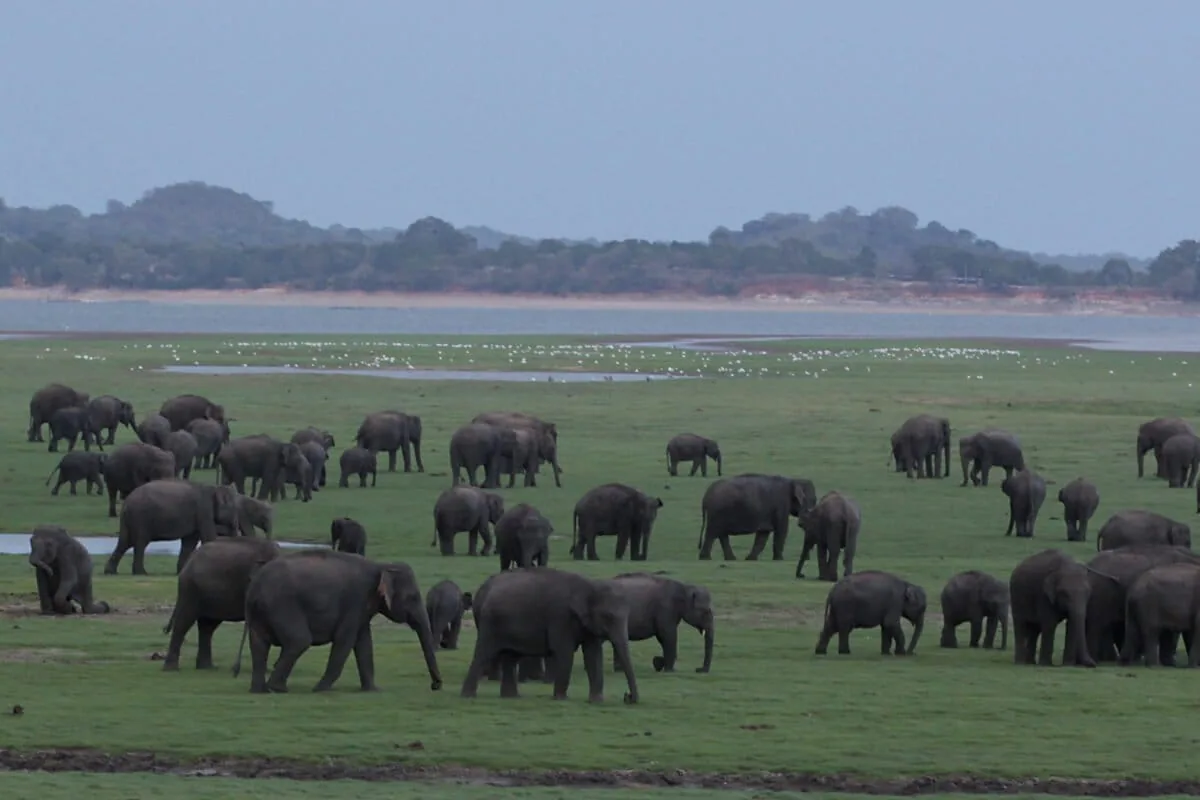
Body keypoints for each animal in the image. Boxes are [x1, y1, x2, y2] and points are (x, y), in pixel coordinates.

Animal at [104, 479, 238, 575]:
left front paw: (181, 572)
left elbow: (190, 542)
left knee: (125, 542)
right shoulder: (204, 511)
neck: (215, 487)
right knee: (140, 542)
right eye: (235, 509)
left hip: (130, 519)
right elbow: (207, 538)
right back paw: (141, 573)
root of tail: (126, 502)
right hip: (141, 517)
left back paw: (111, 572)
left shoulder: (197, 515)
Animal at [161, 536, 281, 670]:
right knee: (184, 622)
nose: (235, 667)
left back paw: (206, 667)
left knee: (207, 627)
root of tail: (190, 559)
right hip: (190, 588)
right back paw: (171, 669)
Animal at [233, 549, 442, 694]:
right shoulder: (355, 600)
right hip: (282, 605)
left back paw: (260, 690)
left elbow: (363, 642)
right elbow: (345, 640)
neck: (381, 565)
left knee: (259, 643)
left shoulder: (362, 608)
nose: (435, 685)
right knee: (299, 641)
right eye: (413, 597)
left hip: (262, 612)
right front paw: (320, 689)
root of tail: (254, 586)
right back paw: (277, 688)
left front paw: (373, 690)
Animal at [461, 567, 638, 704]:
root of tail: (482, 591)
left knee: (510, 656)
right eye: (608, 616)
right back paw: (468, 696)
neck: (590, 585)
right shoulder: (561, 617)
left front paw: (596, 701)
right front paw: (560, 698)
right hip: (490, 623)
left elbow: (593, 655)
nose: (627, 697)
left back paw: (511, 697)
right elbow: (564, 652)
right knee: (483, 654)